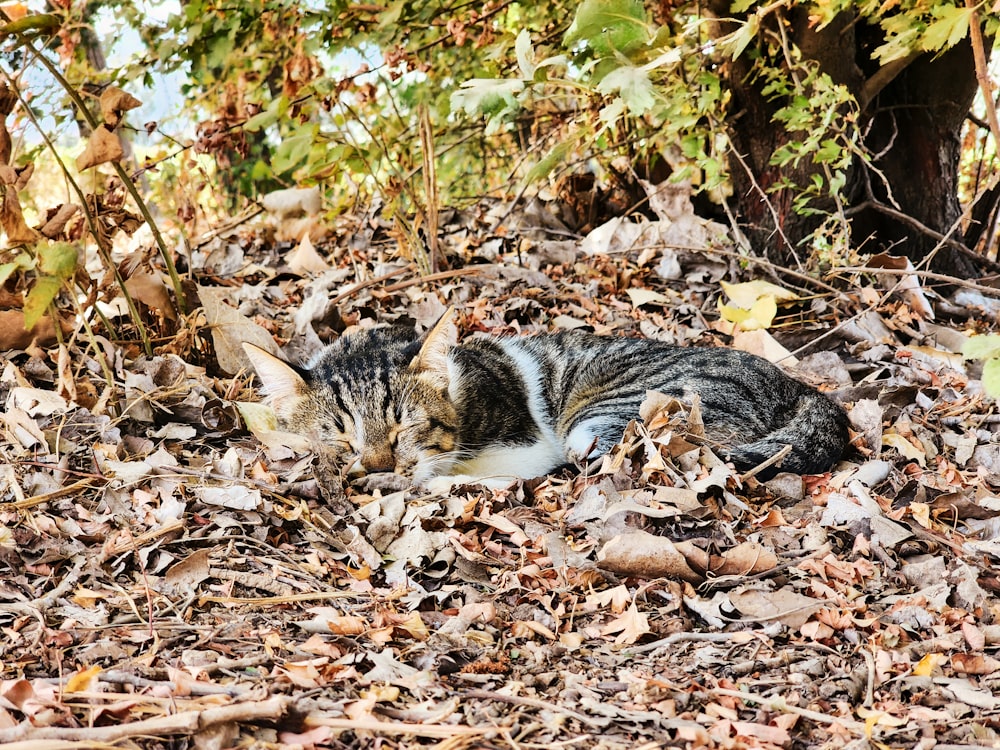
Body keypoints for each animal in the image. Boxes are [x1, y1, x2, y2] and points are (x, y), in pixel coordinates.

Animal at [242, 310, 844, 490]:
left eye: (404, 427)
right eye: (338, 438)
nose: (378, 469)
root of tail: (802, 388)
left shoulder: (529, 445)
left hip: (609, 415)